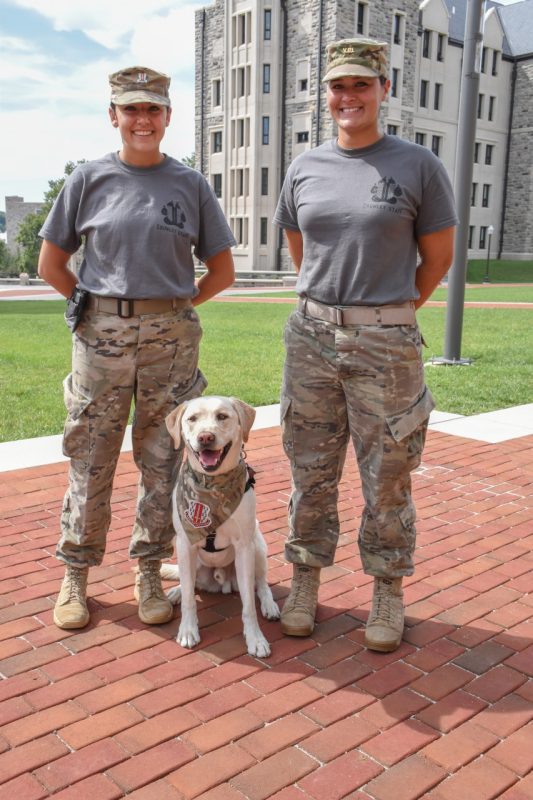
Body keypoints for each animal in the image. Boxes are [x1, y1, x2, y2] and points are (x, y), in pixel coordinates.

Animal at [161, 396, 278, 656]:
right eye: (192, 419)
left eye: (222, 417)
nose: (205, 437)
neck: (212, 486)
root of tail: (221, 580)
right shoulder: (185, 543)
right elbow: (189, 598)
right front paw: (188, 630)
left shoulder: (244, 547)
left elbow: (248, 606)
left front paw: (255, 639)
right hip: (193, 560)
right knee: (189, 583)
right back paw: (176, 591)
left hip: (257, 546)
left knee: (261, 584)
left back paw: (270, 605)